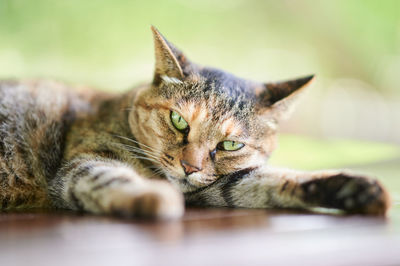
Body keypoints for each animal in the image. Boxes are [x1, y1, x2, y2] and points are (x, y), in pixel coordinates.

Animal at [0, 26, 390, 219]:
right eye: (178, 121)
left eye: (230, 144)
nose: (190, 166)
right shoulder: (82, 164)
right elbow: (110, 177)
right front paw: (154, 197)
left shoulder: (211, 187)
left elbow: (265, 180)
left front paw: (352, 187)